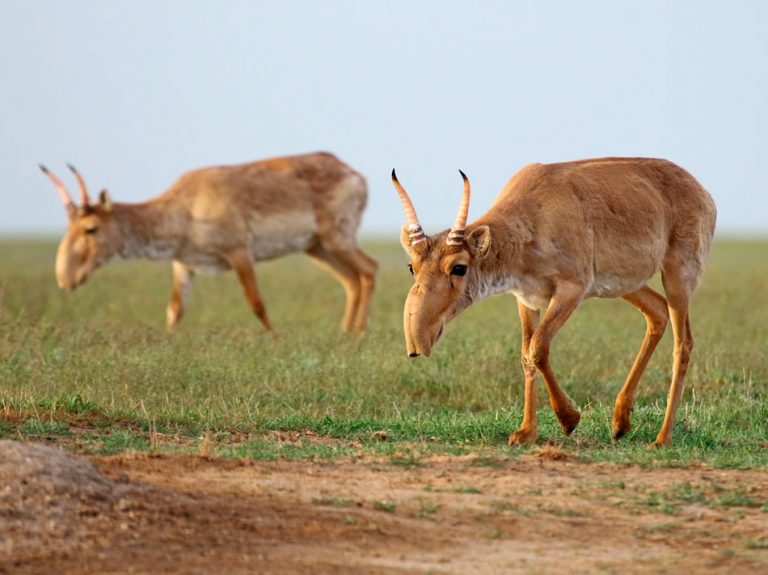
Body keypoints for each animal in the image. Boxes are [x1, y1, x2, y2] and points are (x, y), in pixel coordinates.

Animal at [42, 151, 378, 336]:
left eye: (91, 228)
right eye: (69, 226)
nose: (64, 278)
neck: (185, 207)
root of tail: (356, 175)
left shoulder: (239, 253)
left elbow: (257, 303)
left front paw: (275, 339)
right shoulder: (183, 265)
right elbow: (175, 310)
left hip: (337, 239)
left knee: (369, 269)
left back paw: (358, 335)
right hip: (316, 247)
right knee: (351, 280)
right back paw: (345, 333)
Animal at [392, 159, 716, 450]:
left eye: (459, 267)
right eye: (411, 266)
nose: (417, 344)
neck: (532, 218)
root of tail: (705, 194)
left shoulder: (571, 289)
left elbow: (538, 347)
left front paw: (569, 419)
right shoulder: (526, 299)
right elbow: (526, 354)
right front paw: (525, 432)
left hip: (678, 275)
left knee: (683, 343)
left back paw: (662, 438)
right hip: (627, 285)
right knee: (657, 312)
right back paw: (620, 423)